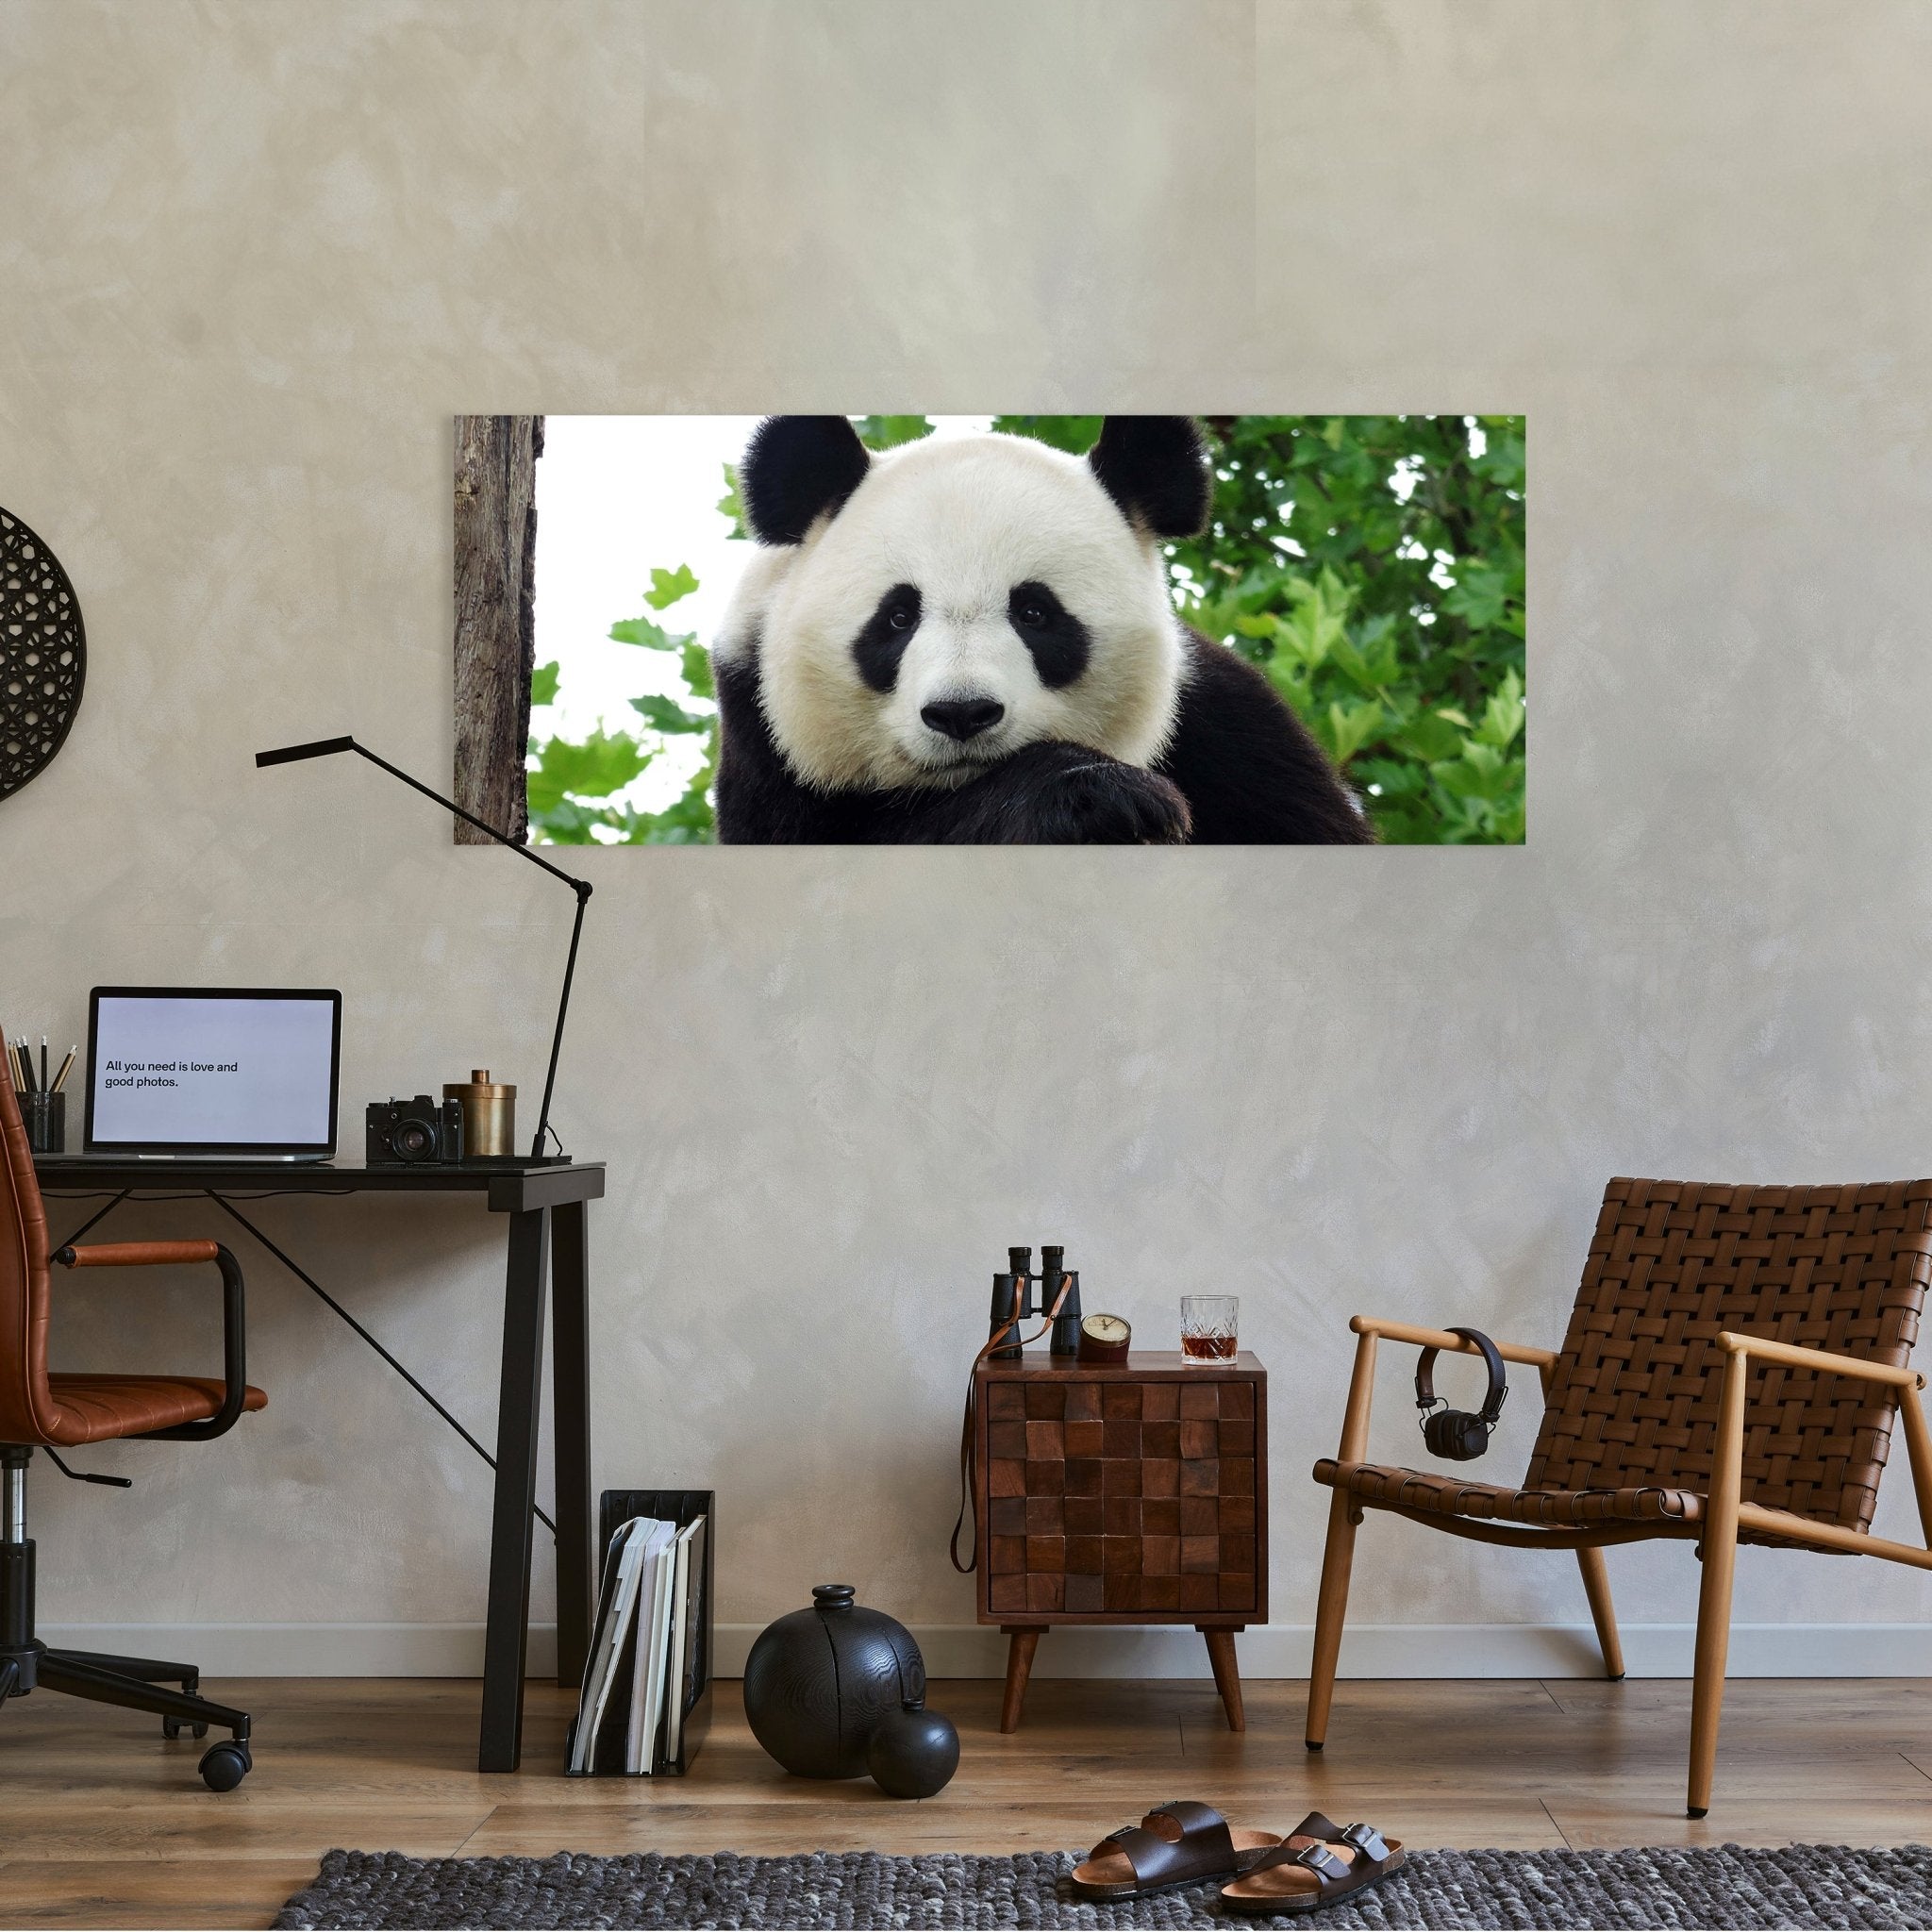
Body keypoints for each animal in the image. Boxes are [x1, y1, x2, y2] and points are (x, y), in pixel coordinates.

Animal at [709, 416, 1373, 845]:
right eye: (897, 617)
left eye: (1034, 612)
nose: (962, 714)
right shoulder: (767, 749)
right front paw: (1096, 797)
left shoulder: (1237, 741)